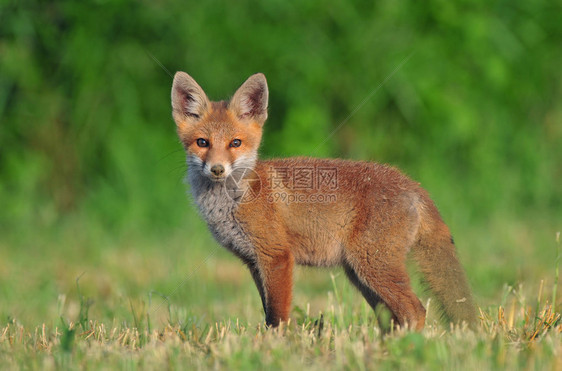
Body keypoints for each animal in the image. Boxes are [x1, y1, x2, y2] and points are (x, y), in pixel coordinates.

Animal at [172, 71, 476, 330]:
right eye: (202, 143)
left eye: (235, 143)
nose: (217, 169)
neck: (234, 200)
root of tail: (412, 183)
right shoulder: (254, 262)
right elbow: (267, 312)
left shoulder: (277, 257)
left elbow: (277, 316)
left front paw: (279, 345)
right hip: (361, 275)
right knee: (391, 317)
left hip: (374, 267)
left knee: (415, 311)